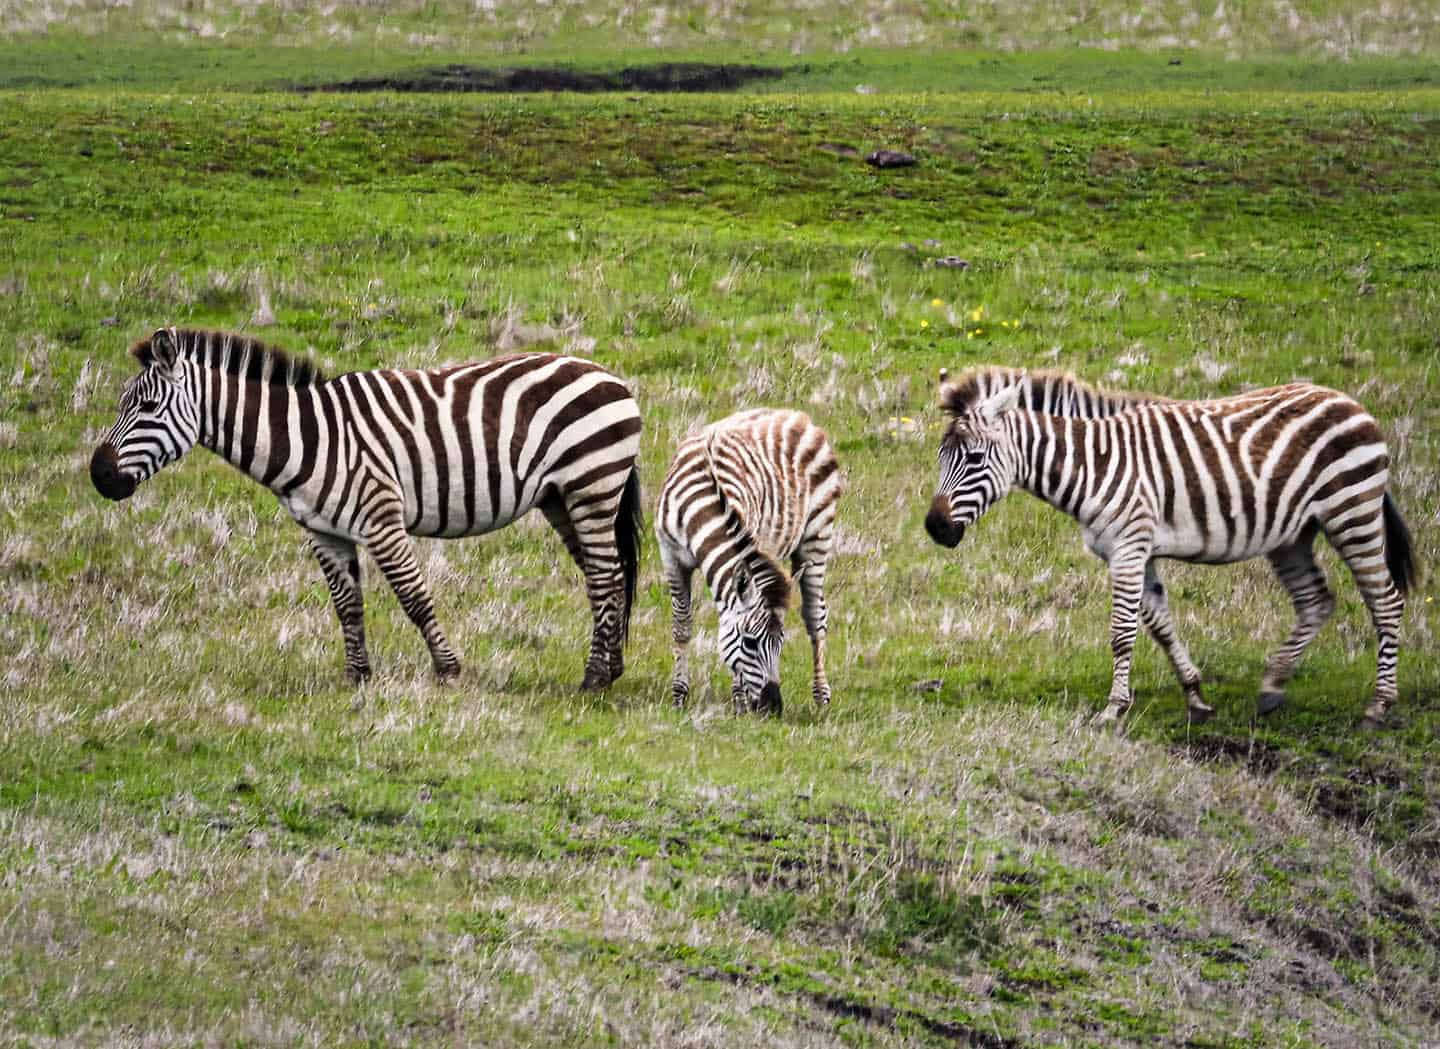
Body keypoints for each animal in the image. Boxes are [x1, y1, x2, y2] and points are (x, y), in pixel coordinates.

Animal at [90, 328, 642, 688]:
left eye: (147, 408)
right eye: (122, 406)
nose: (99, 476)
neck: (307, 439)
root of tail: (609, 375)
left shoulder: (381, 517)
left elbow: (415, 599)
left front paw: (448, 671)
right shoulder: (323, 531)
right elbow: (347, 606)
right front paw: (357, 677)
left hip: (591, 484)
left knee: (605, 575)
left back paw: (594, 678)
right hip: (561, 497)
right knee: (609, 575)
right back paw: (611, 667)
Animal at [659, 406, 846, 711]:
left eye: (781, 643)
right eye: (749, 643)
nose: (773, 707)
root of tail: (795, 414)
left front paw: (739, 700)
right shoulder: (671, 556)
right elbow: (681, 625)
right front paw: (678, 695)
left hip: (817, 535)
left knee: (815, 615)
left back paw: (821, 695)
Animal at [921, 364, 1416, 726]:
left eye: (975, 458)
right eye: (941, 457)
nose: (935, 529)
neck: (1092, 464)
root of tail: (1349, 401)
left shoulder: (1129, 547)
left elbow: (1122, 632)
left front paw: (1113, 709)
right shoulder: (1135, 552)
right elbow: (1159, 626)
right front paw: (1195, 695)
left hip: (1351, 512)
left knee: (1385, 602)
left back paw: (1379, 705)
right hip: (1293, 534)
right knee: (1316, 600)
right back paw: (1272, 687)